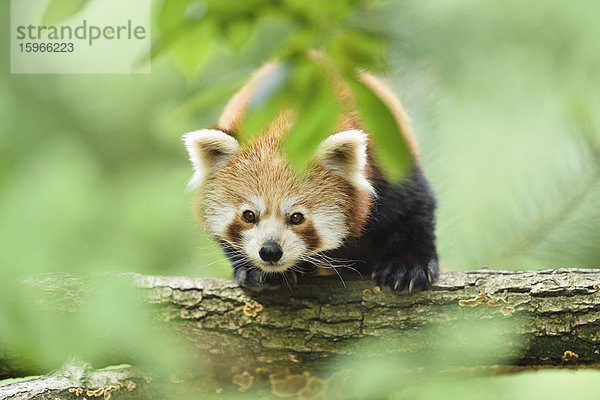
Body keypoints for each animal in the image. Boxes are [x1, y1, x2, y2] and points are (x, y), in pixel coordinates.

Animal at [183, 61, 440, 292]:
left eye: (297, 217)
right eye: (248, 215)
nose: (269, 251)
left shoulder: (386, 163)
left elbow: (411, 212)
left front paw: (407, 265)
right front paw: (253, 270)